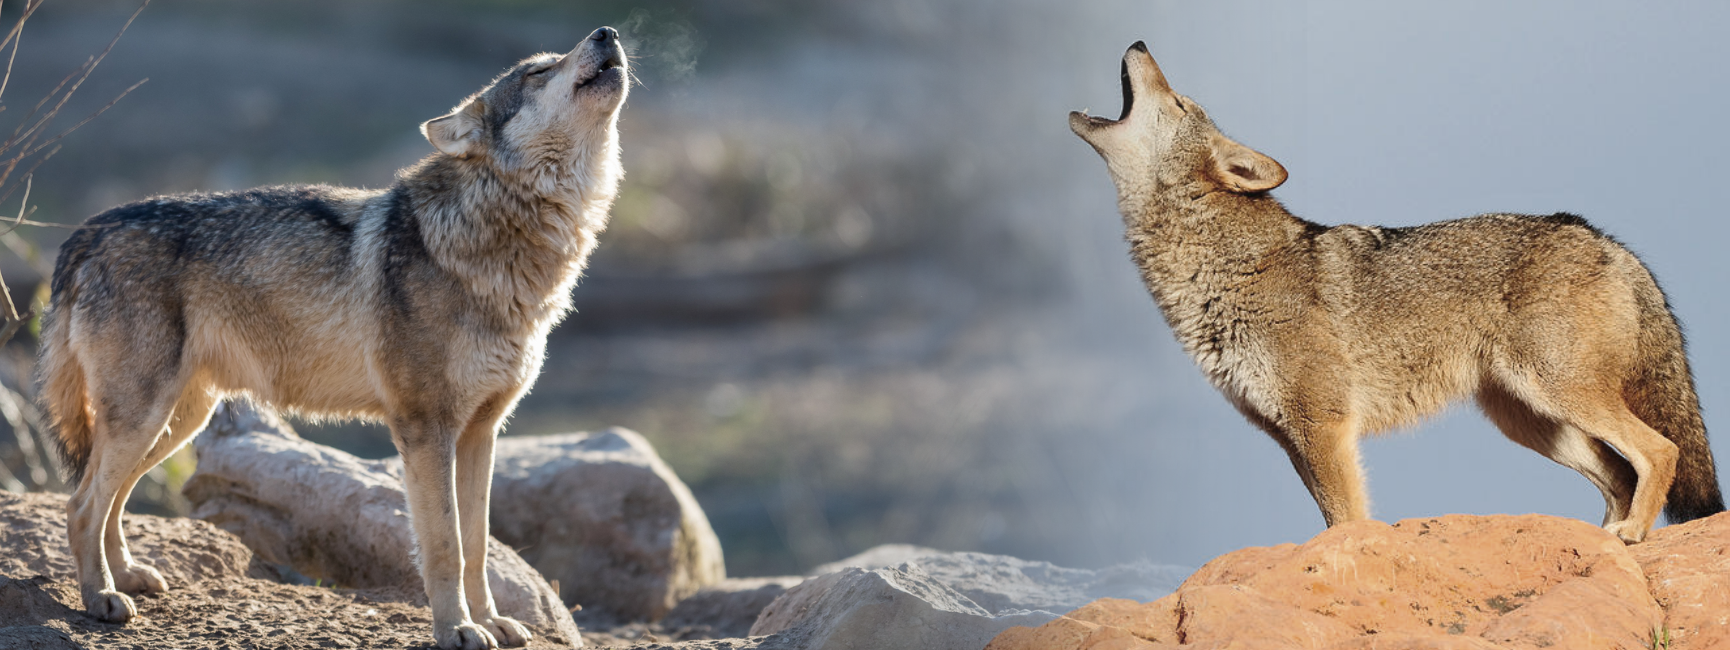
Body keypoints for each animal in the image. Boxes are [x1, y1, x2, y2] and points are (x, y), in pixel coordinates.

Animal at [42, 25, 629, 650]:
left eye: (552, 61)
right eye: (538, 72)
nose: (607, 32)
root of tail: (85, 232)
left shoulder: (481, 432)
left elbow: (476, 545)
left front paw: (490, 621)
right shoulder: (426, 430)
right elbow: (445, 545)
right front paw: (457, 629)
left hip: (176, 422)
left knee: (110, 501)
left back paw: (126, 577)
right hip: (146, 419)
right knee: (81, 505)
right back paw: (100, 599)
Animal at [1065, 41, 1716, 542]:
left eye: (1179, 102)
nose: (1140, 41)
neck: (1222, 266)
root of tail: (1604, 238)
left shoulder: (1324, 425)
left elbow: (1348, 520)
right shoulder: (1290, 436)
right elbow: (1333, 519)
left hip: (1557, 393)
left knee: (1660, 451)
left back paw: (1630, 534)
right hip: (1531, 421)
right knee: (1622, 473)